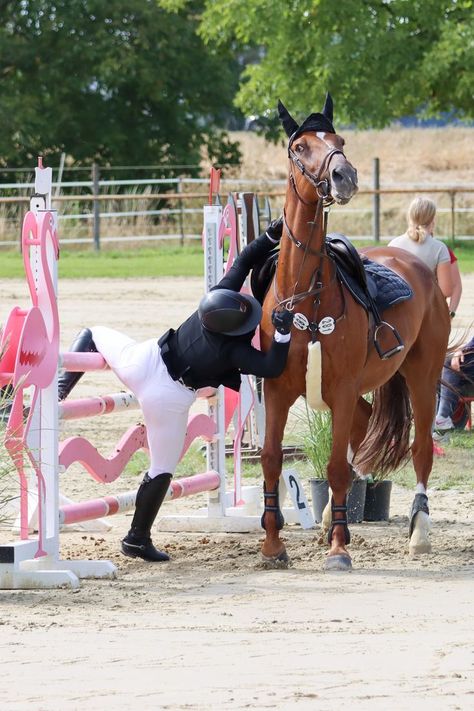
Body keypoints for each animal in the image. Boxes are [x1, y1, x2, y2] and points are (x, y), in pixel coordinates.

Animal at [262, 96, 450, 572]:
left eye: (340, 141)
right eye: (300, 147)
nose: (344, 175)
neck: (304, 297)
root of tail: (414, 262)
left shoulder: (343, 391)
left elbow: (334, 466)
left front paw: (338, 549)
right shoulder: (276, 391)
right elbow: (272, 459)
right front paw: (273, 546)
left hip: (423, 377)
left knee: (420, 449)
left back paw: (419, 533)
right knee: (362, 436)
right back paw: (331, 514)